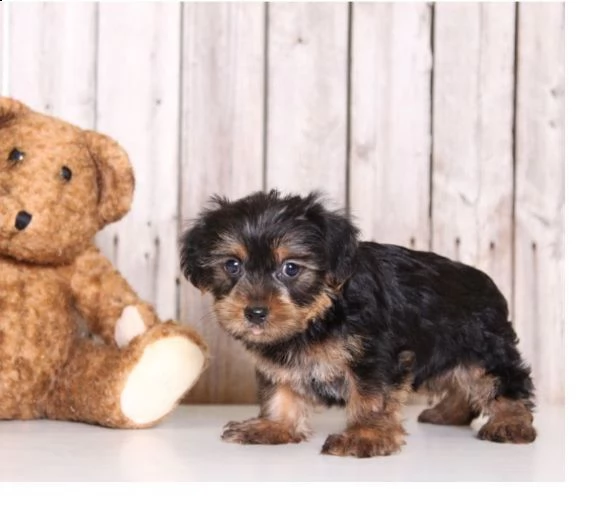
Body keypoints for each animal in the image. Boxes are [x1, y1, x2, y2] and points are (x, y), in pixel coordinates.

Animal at [180, 191, 536, 458]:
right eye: (232, 266)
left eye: (290, 268)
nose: (254, 312)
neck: (319, 315)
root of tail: (485, 282)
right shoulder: (280, 360)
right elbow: (280, 390)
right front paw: (274, 426)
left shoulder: (375, 356)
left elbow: (372, 398)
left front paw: (365, 435)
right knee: (459, 381)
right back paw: (448, 413)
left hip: (484, 346)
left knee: (501, 382)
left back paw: (510, 423)